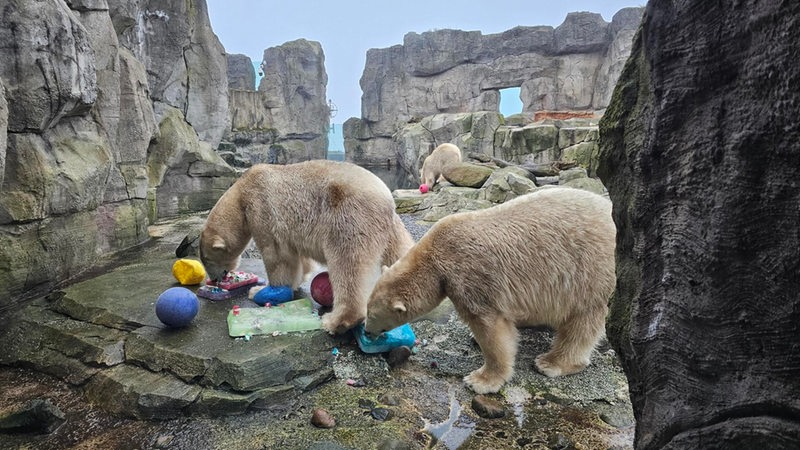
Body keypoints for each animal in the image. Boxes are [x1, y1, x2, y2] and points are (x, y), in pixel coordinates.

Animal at [200, 161, 416, 334]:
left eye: (207, 260)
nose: (215, 280)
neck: (242, 192)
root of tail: (387, 199)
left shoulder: (262, 209)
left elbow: (276, 254)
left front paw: (260, 290)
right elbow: (297, 256)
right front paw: (297, 280)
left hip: (349, 217)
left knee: (347, 264)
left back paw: (336, 322)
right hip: (391, 230)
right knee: (401, 255)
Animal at [366, 186, 616, 394]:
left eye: (374, 317)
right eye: (367, 310)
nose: (367, 332)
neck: (434, 257)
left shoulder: (471, 277)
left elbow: (490, 327)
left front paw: (480, 380)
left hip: (591, 271)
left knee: (583, 320)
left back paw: (551, 363)